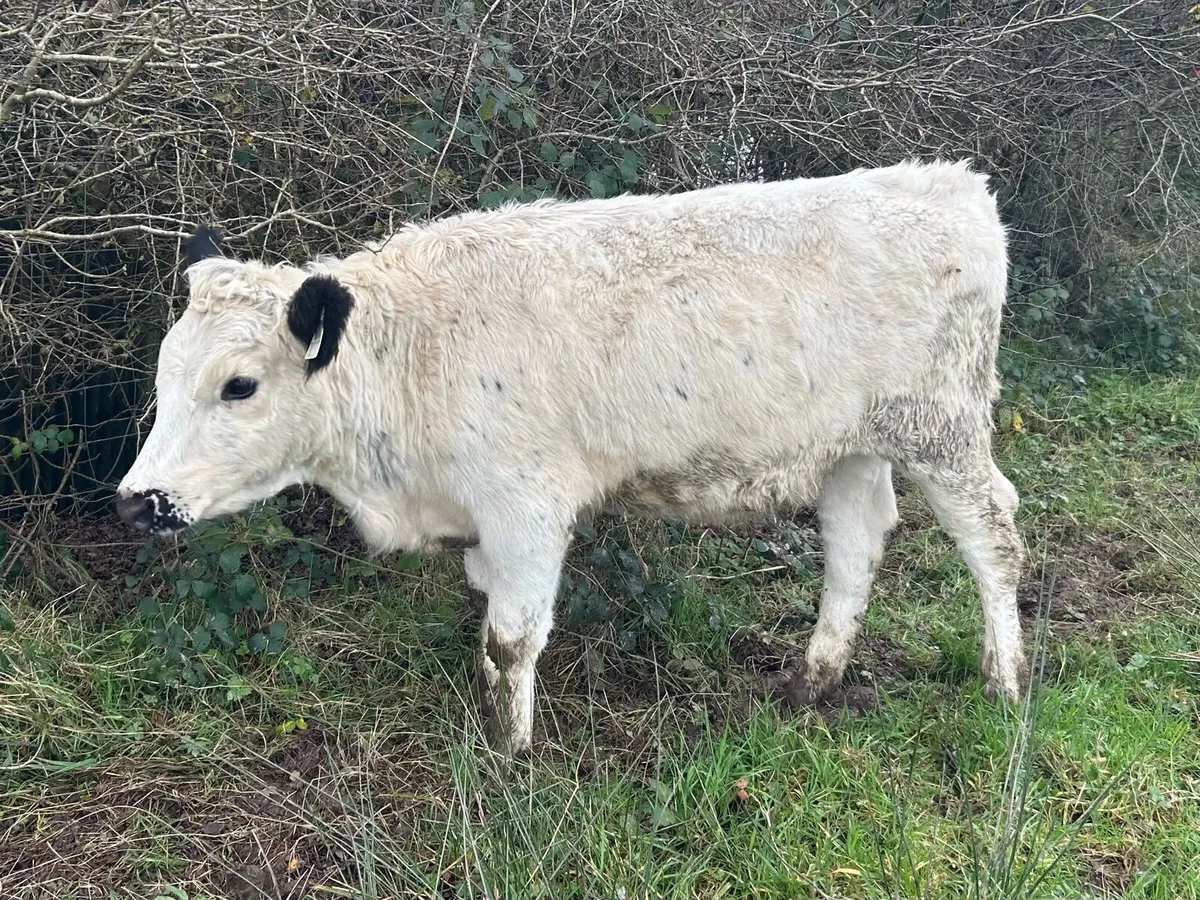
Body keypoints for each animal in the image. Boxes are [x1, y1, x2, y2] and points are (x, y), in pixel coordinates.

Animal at [117, 159, 1027, 755]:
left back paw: (1005, 682)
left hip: (943, 429)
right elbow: (490, 626)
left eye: (238, 385)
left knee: (994, 537)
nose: (137, 500)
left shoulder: (526, 506)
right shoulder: (481, 522)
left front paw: (511, 757)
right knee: (857, 541)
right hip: (850, 446)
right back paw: (814, 680)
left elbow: (512, 638)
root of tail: (950, 182)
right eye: (165, 372)